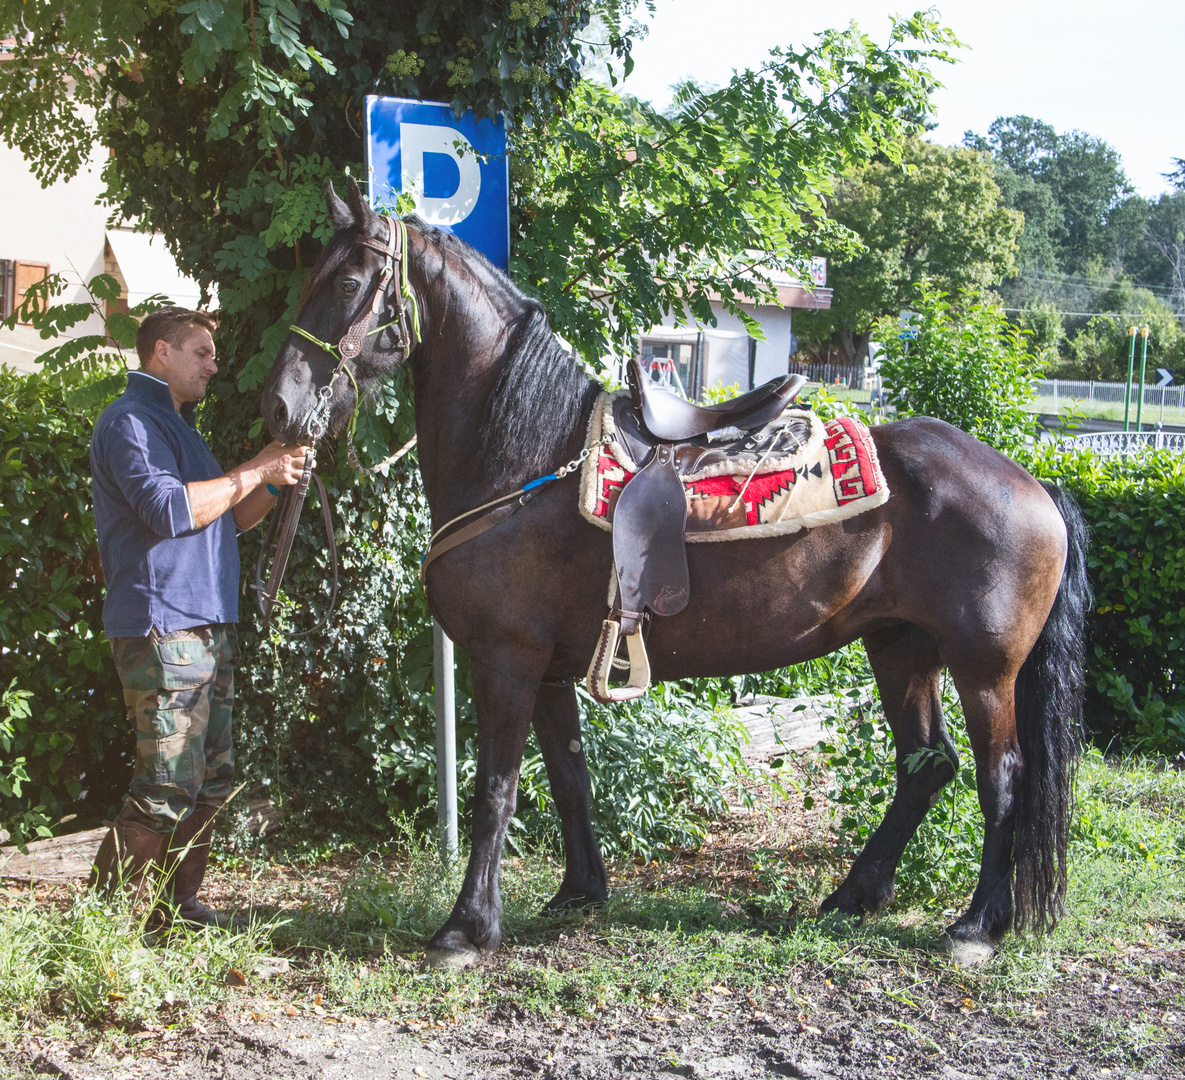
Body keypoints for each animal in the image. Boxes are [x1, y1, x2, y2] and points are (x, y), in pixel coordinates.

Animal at [264, 179, 1085, 972]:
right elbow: (568, 776)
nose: (281, 406)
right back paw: (853, 895)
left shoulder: (506, 660)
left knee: (1002, 778)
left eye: (349, 281)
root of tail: (1033, 483)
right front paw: (578, 892)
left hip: (983, 670)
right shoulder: (550, 670)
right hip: (900, 648)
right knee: (924, 766)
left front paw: (466, 929)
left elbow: (495, 790)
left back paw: (975, 926)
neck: (527, 460)